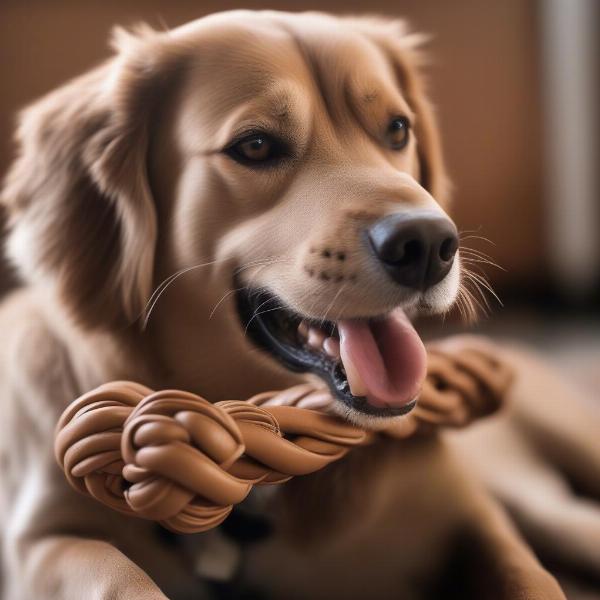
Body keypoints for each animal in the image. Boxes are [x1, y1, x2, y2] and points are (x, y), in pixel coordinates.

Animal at [0, 9, 584, 600]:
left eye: (398, 129)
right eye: (255, 145)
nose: (427, 245)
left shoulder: (473, 519)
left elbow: (530, 577)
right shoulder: (42, 539)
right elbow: (118, 578)